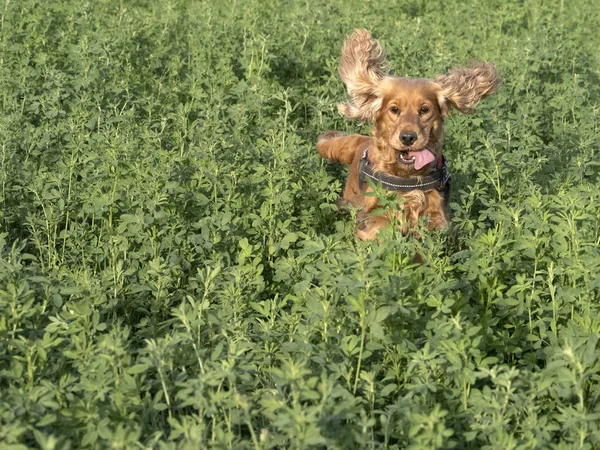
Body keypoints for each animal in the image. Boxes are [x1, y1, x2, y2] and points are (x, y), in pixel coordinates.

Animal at [316, 28, 500, 241]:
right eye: (394, 109)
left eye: (425, 110)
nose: (408, 137)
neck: (407, 175)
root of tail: (361, 140)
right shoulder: (375, 210)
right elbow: (381, 224)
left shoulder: (437, 211)